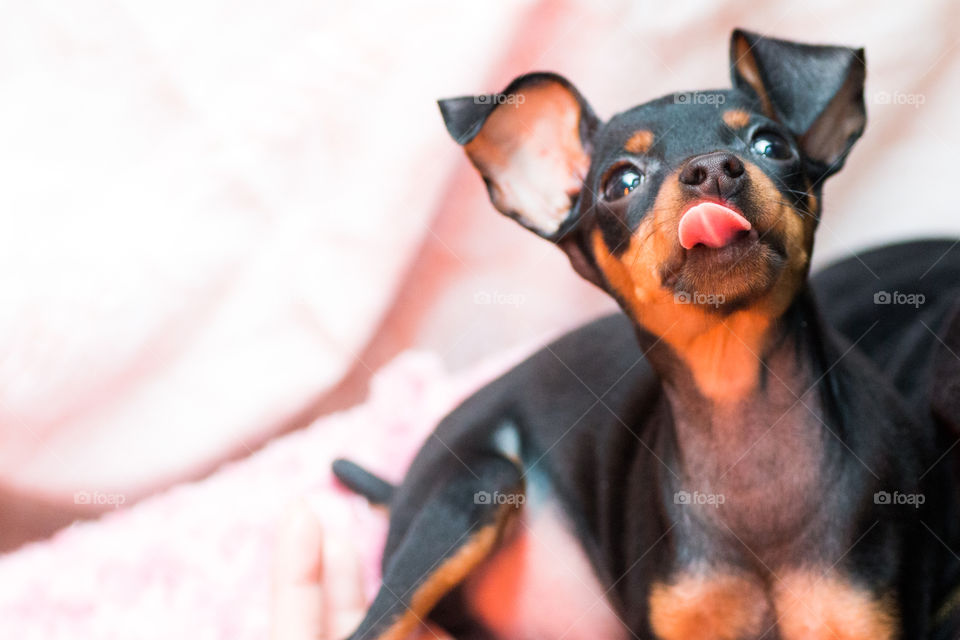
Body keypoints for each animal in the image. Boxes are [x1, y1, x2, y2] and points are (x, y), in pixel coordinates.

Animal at [332, 31, 960, 640]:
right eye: (621, 183)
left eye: (773, 146)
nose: (713, 168)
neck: (737, 395)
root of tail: (399, 489)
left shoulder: (862, 616)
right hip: (478, 484)